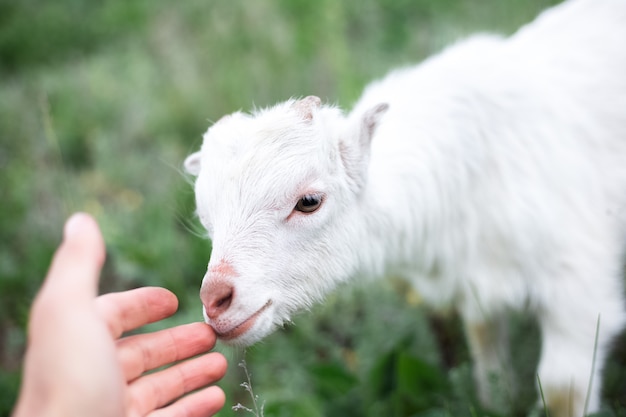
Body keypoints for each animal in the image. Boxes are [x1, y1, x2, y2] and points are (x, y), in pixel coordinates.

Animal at [184, 1, 624, 414]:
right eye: (207, 218)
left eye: (308, 202)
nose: (215, 301)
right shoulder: (477, 284)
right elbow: (487, 357)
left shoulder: (577, 285)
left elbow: (562, 390)